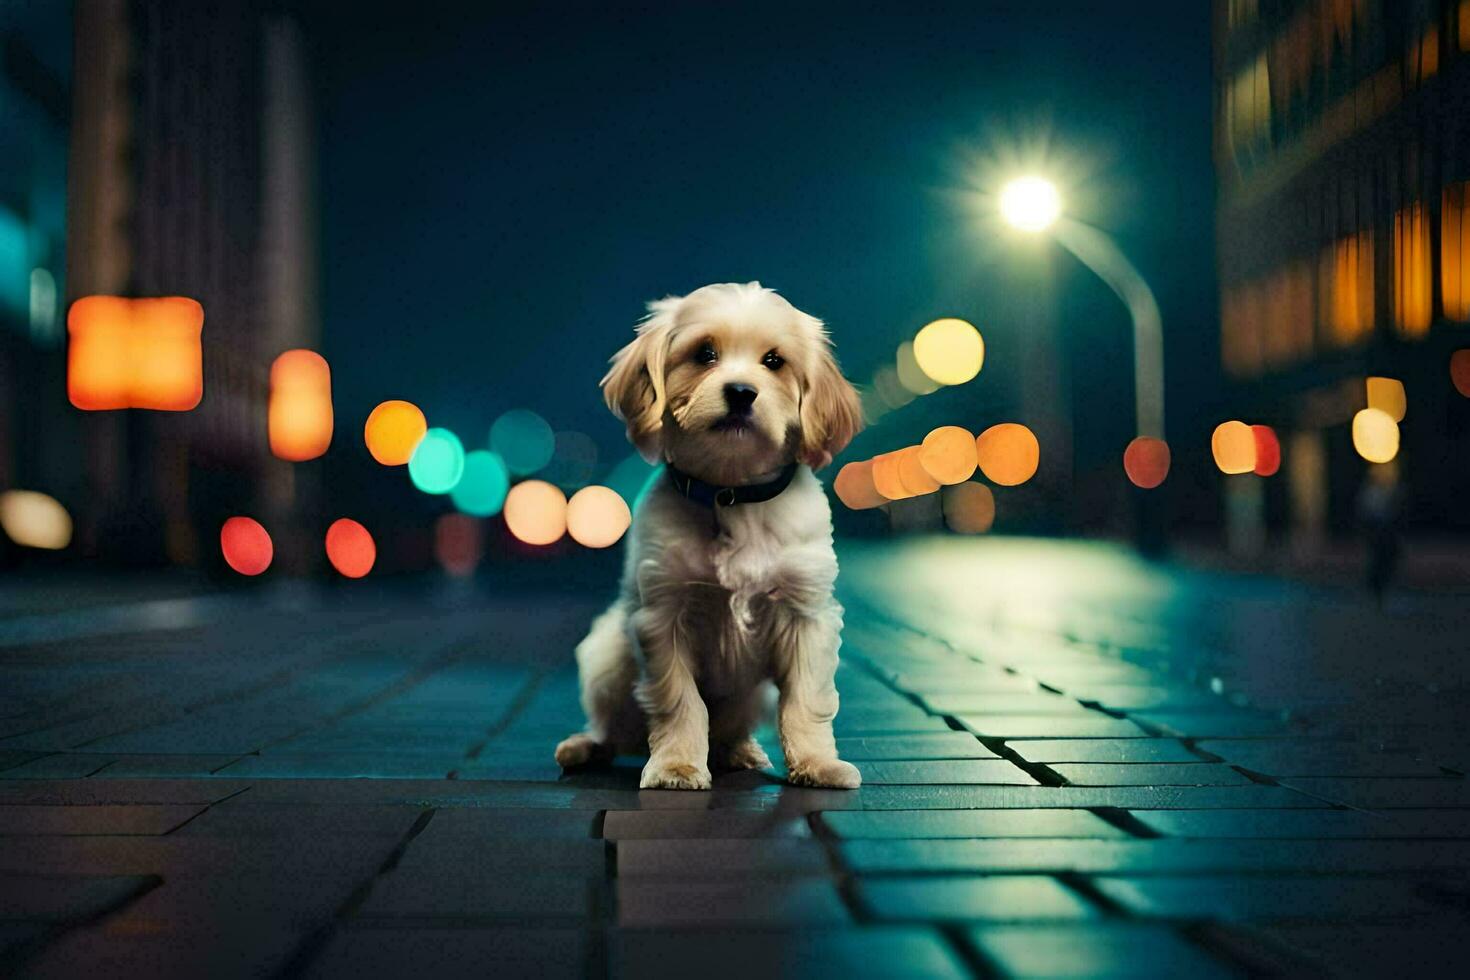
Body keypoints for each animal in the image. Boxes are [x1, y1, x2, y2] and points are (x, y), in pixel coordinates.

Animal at [555, 282, 864, 787]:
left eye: (774, 361)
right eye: (704, 354)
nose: (740, 392)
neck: (731, 493)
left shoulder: (807, 616)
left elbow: (805, 702)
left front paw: (817, 763)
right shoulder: (663, 618)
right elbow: (680, 702)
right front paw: (677, 764)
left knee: (728, 731)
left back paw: (739, 751)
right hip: (607, 656)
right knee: (615, 729)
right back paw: (587, 746)